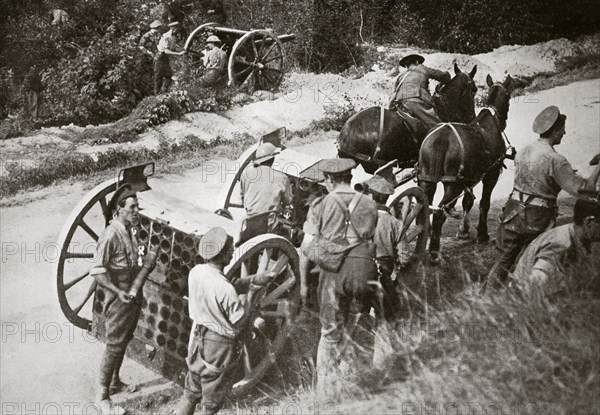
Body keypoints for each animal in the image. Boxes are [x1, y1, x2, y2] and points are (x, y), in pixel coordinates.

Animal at [418, 75, 516, 262]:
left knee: (425, 209)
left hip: (427, 180)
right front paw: (482, 234)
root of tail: (440, 139)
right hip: (453, 185)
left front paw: (463, 230)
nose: (506, 119)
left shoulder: (469, 178)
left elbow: (468, 201)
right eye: (508, 97)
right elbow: (484, 203)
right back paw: (434, 252)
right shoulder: (491, 174)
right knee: (439, 213)